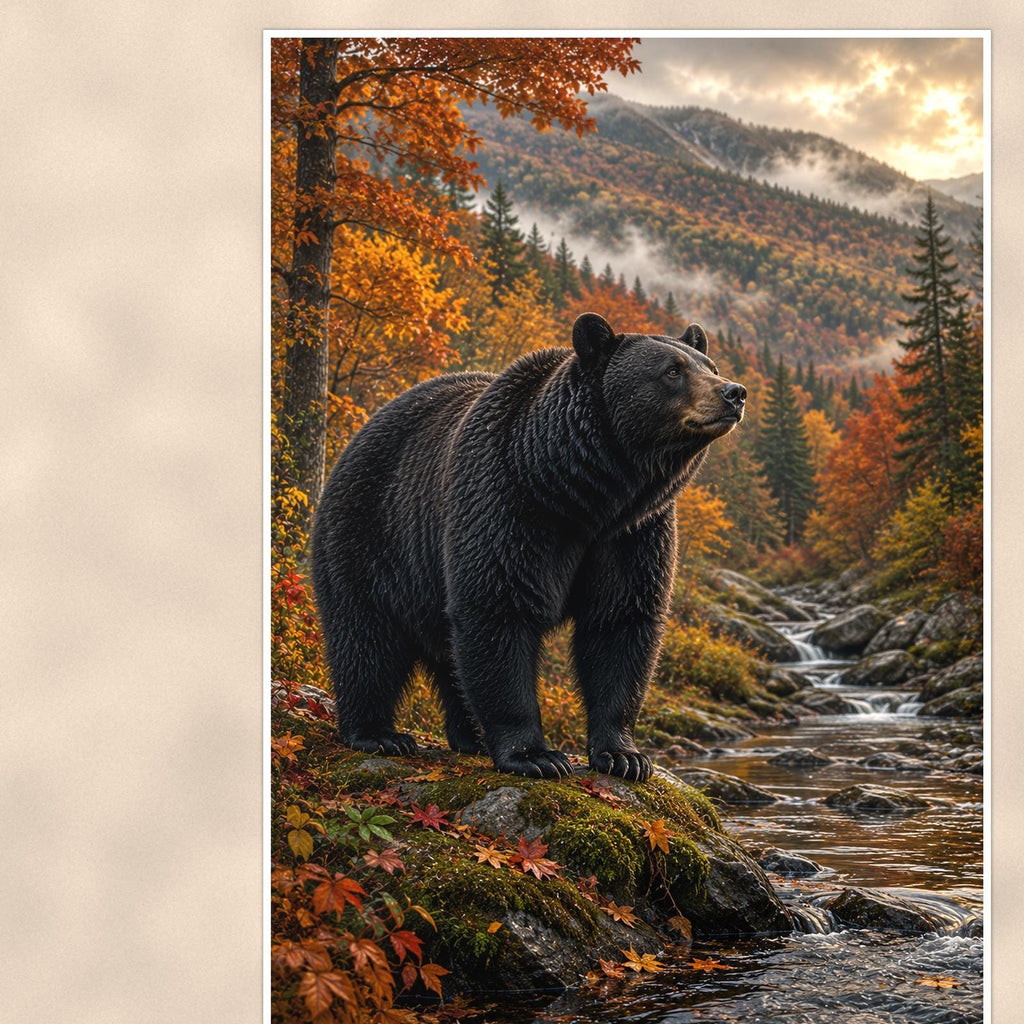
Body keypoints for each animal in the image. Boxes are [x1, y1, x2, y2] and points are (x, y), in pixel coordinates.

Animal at [311, 312, 746, 781]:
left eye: (709, 365)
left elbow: (621, 621)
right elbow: (500, 609)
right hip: (370, 532)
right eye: (672, 371)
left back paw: (470, 736)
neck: (584, 491)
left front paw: (624, 756)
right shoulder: (508, 503)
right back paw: (378, 733)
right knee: (366, 637)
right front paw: (535, 755)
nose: (733, 393)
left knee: (446, 654)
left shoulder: (634, 532)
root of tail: (358, 434)